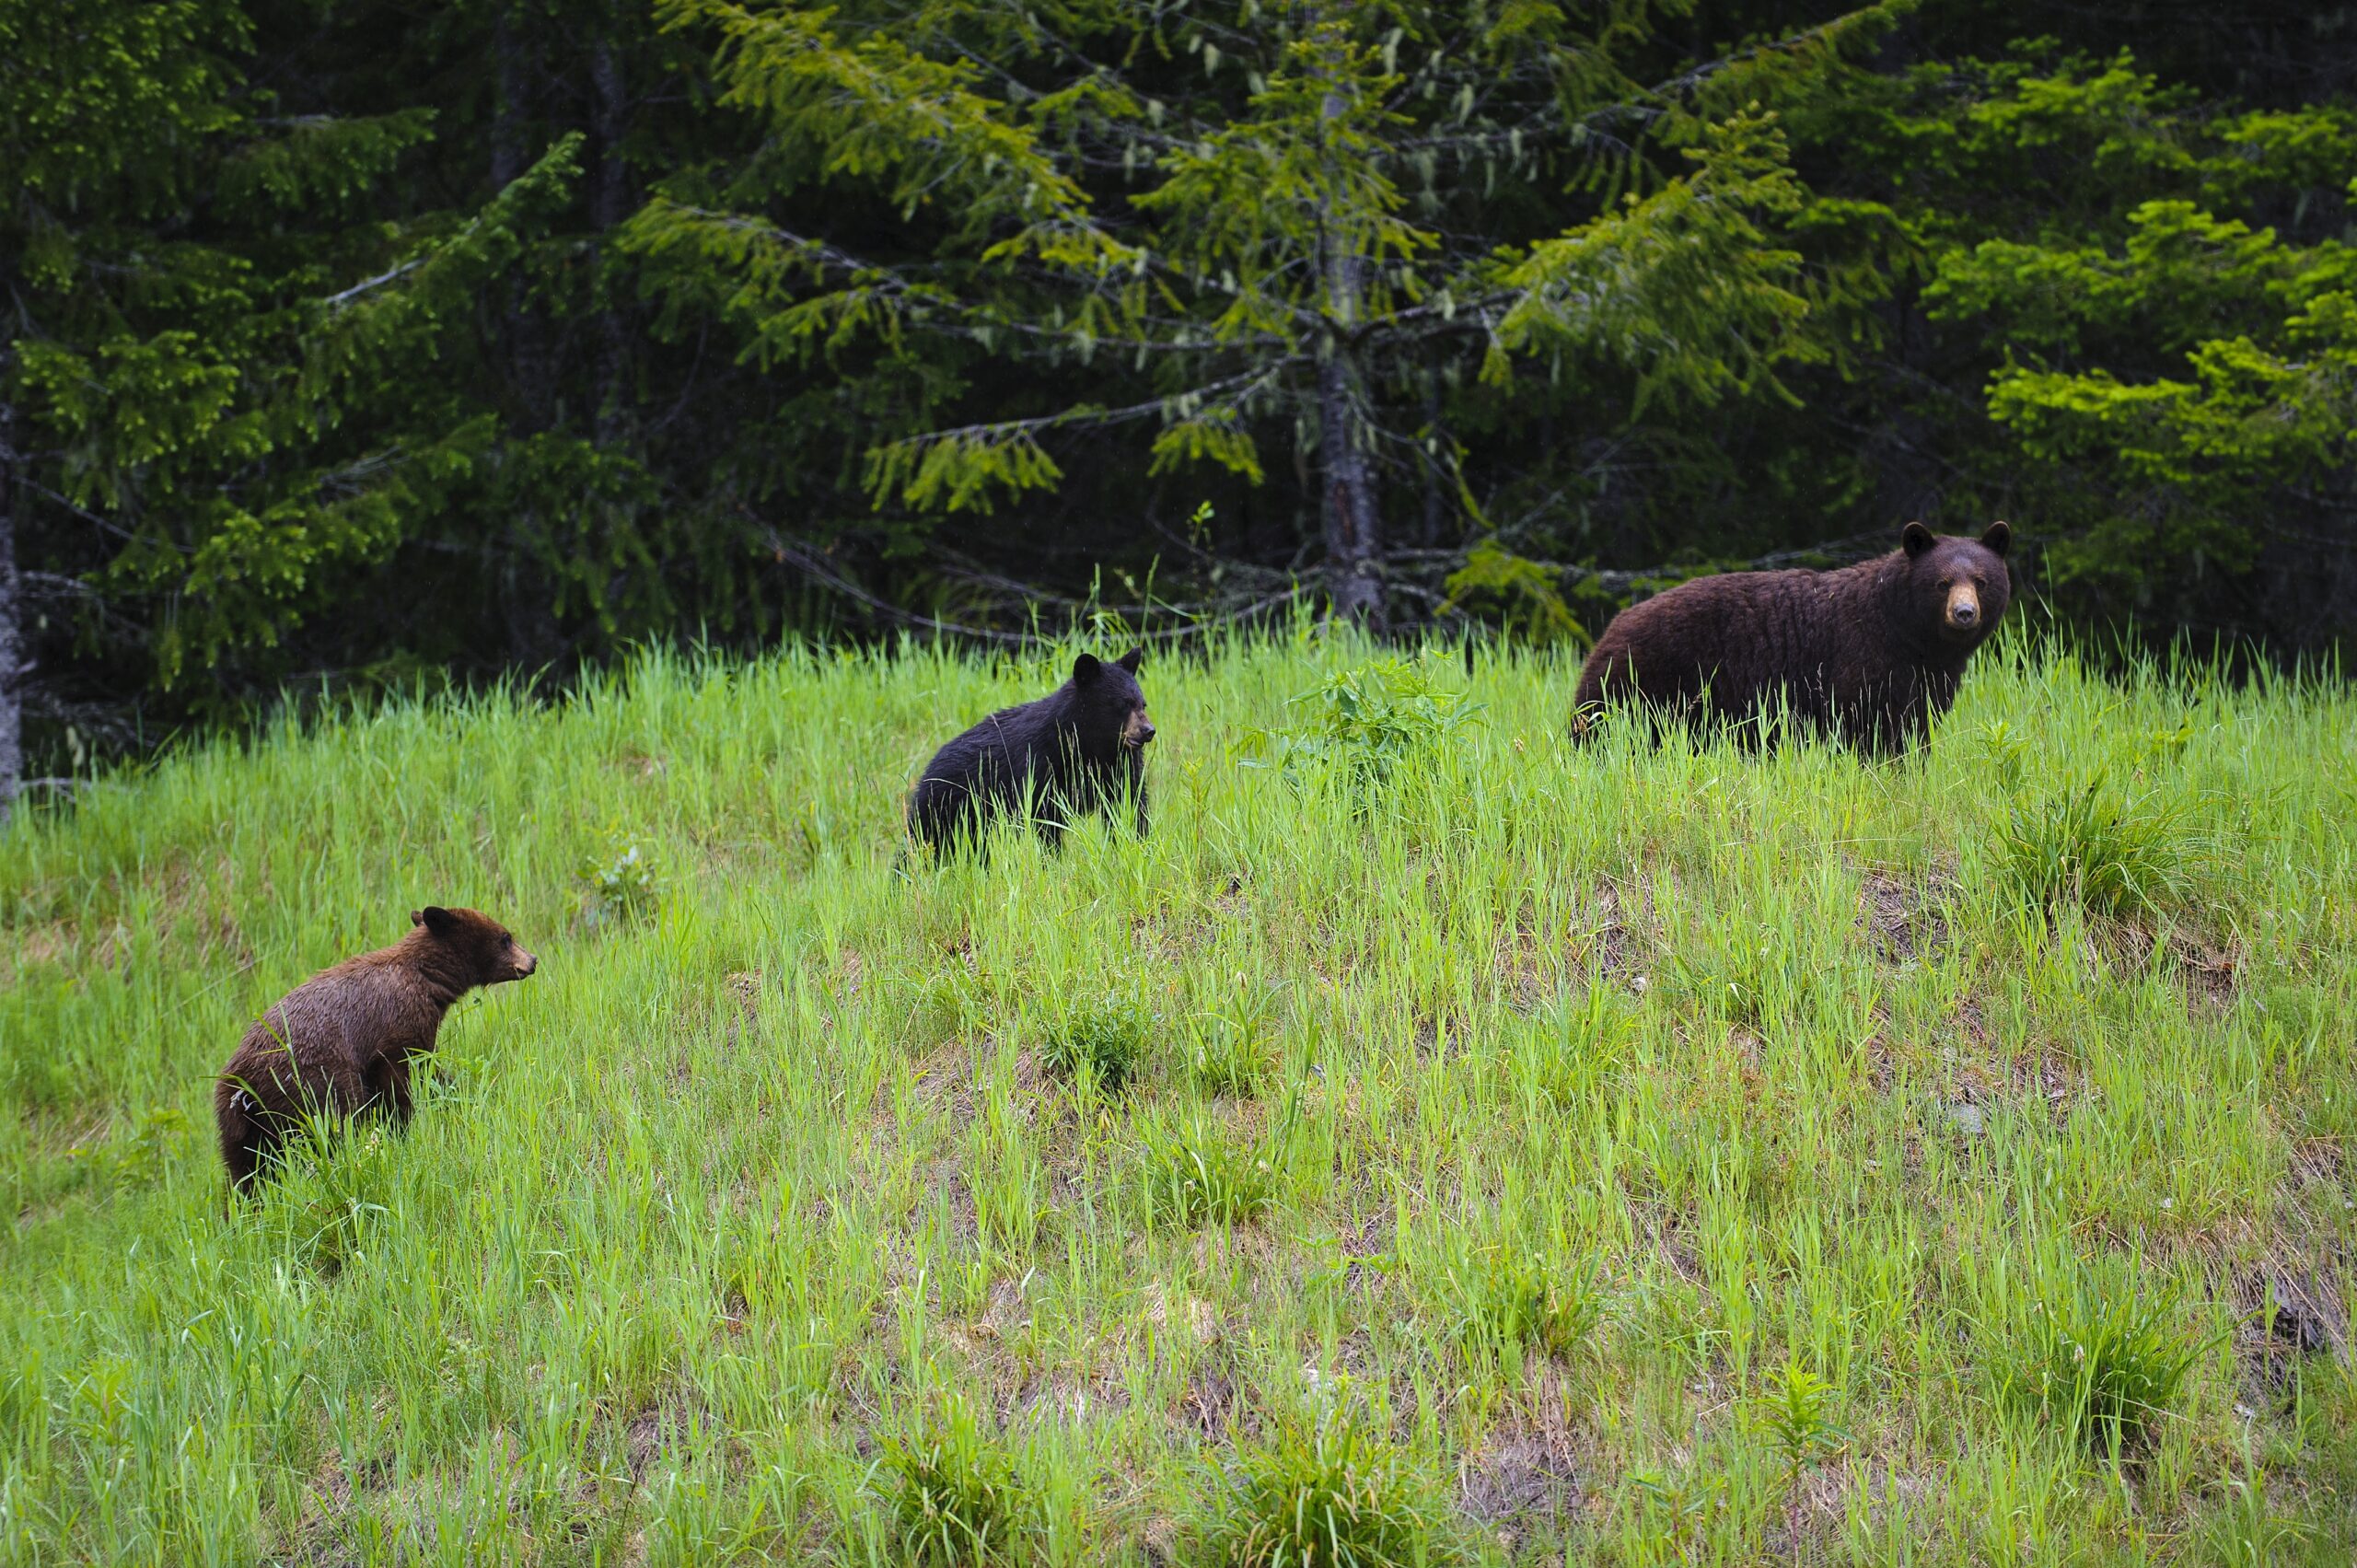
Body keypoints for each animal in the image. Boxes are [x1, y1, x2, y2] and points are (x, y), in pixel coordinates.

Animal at [217, 905, 540, 1188]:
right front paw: (406, 1128)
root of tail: (242, 1081)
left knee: (246, 1170)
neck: (425, 976)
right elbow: (402, 1081)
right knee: (332, 1124)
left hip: (239, 1125)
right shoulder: (396, 1027)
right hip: (309, 1081)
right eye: (506, 937)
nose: (533, 959)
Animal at [1574, 518, 2017, 754]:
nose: (1964, 613)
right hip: (1642, 685)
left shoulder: (1927, 677)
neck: (1907, 633)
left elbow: (1915, 724)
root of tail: (1611, 629)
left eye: (1981, 580)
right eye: (1942, 583)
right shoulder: (1863, 660)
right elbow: (1871, 726)